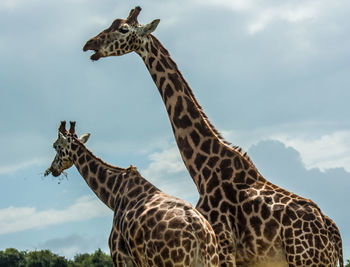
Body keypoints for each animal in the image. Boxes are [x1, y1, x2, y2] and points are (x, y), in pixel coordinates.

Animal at [43, 122, 219, 267]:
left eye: (55, 146)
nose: (52, 169)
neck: (113, 195)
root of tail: (199, 235)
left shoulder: (120, 257)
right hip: (211, 261)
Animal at [83, 6, 344, 267]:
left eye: (123, 29)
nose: (89, 44)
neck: (202, 169)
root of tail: (334, 234)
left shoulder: (223, 246)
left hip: (306, 260)